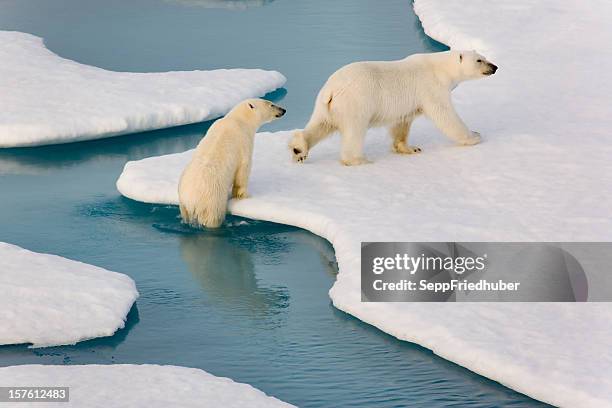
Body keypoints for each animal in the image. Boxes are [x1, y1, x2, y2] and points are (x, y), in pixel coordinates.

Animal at [178, 97, 286, 228]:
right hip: (212, 200)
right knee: (213, 217)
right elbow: (243, 170)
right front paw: (244, 195)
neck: (237, 119)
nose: (283, 110)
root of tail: (191, 200)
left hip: (182, 201)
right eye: (271, 104)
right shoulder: (244, 141)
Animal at [290, 50, 498, 166]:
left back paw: (298, 150)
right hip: (356, 102)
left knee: (321, 125)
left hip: (327, 106)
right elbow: (445, 114)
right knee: (354, 130)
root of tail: (331, 89)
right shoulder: (431, 87)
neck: (440, 68)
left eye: (484, 57)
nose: (495, 67)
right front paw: (474, 136)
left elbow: (402, 122)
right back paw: (358, 160)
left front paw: (410, 148)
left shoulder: (407, 104)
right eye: (479, 60)